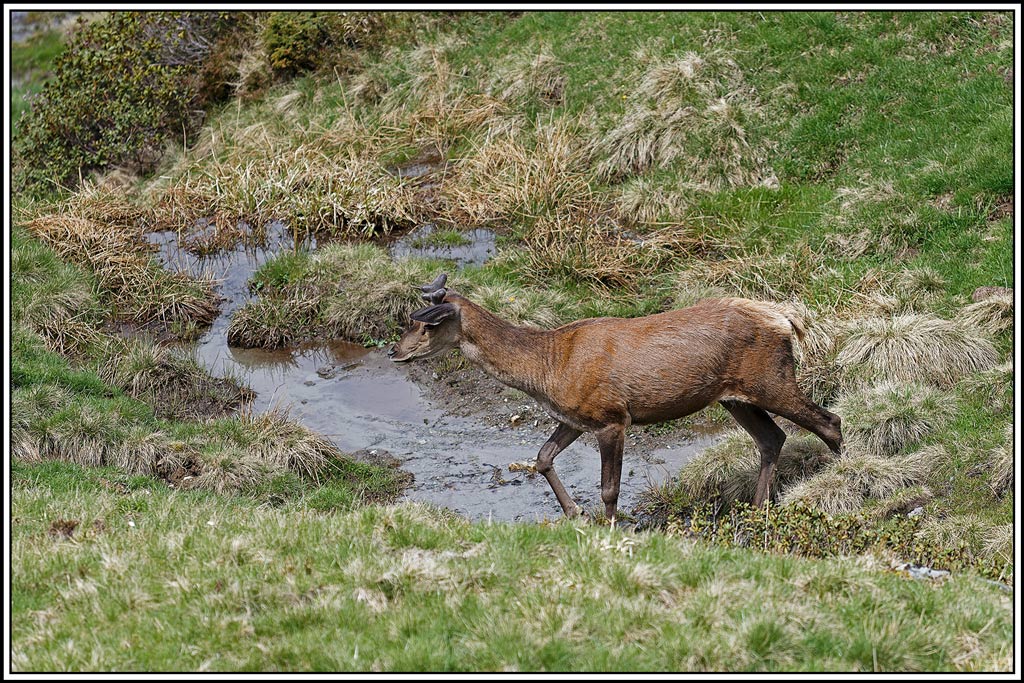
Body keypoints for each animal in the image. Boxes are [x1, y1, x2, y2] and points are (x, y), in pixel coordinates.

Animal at [388, 273, 842, 521]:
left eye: (426, 324)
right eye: (410, 319)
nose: (394, 351)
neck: (549, 366)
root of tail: (788, 319)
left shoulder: (611, 416)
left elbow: (610, 488)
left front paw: (609, 527)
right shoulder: (574, 416)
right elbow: (542, 457)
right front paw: (574, 513)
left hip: (771, 379)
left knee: (829, 421)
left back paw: (843, 475)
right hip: (736, 397)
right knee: (773, 438)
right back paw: (759, 507)